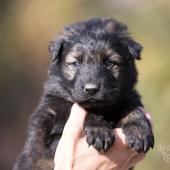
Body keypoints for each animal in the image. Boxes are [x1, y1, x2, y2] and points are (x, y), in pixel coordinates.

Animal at [13, 17, 154, 169]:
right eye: (75, 63)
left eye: (109, 62)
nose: (91, 89)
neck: (104, 108)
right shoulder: (51, 133)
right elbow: (82, 108)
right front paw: (99, 130)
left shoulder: (127, 95)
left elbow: (132, 107)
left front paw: (139, 130)